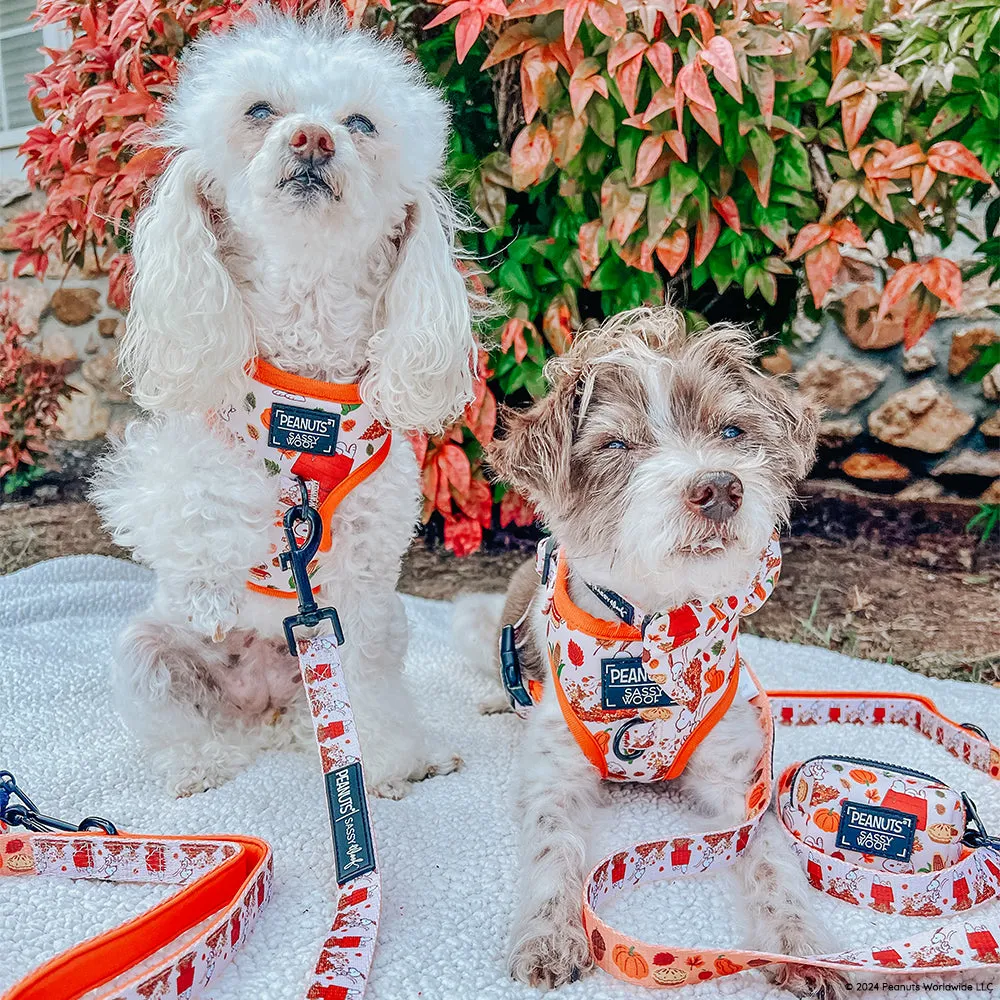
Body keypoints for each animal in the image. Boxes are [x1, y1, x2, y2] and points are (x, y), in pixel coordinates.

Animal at [92, 5, 474, 796]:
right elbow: (195, 488)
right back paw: (199, 763)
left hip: (377, 629)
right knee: (180, 723)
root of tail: (260, 704)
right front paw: (215, 586)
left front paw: (385, 763)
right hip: (144, 649)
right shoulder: (178, 451)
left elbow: (366, 680)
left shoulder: (364, 573)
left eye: (360, 122)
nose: (312, 137)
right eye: (259, 110)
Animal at [460, 308, 844, 996]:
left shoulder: (739, 785)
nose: (718, 487)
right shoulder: (553, 775)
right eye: (616, 446)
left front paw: (800, 944)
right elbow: (554, 846)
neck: (653, 627)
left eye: (732, 430)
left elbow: (773, 860)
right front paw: (551, 932)